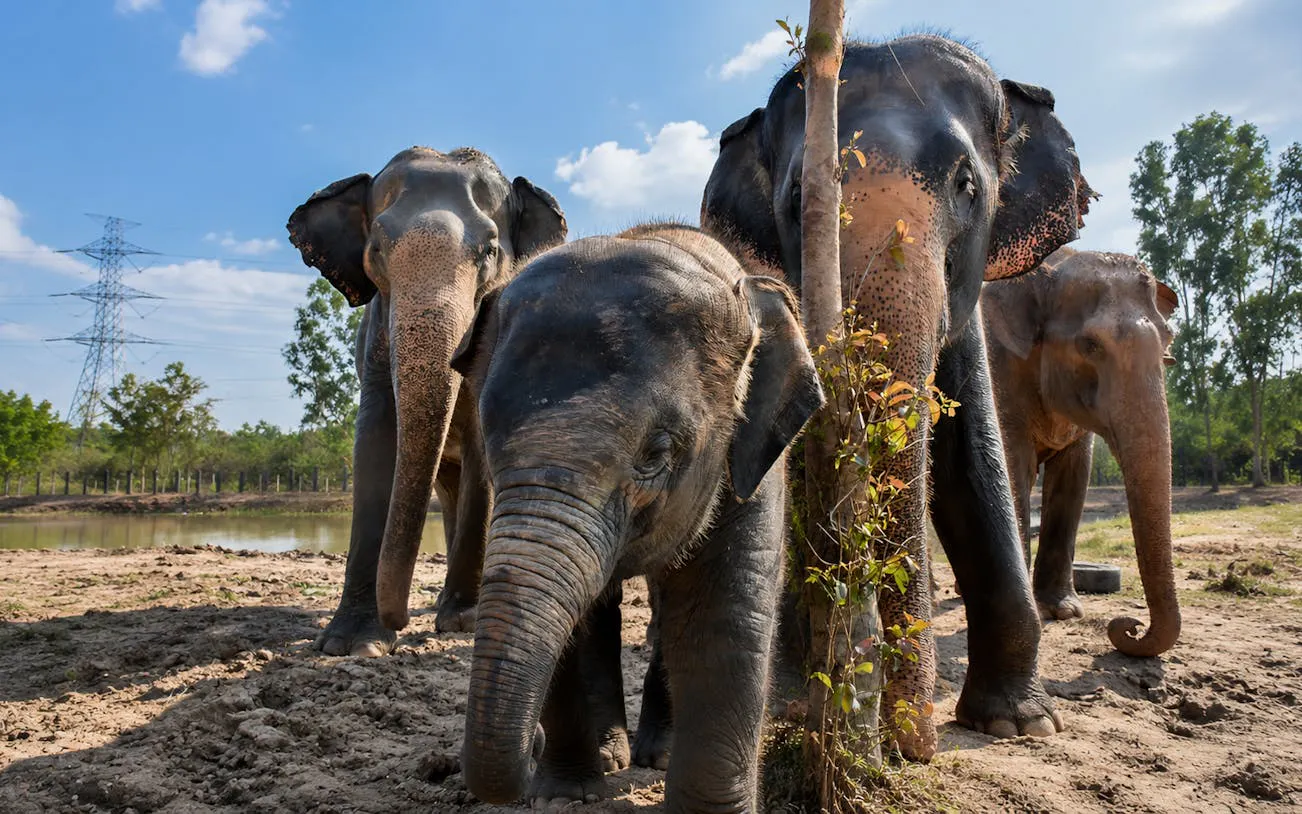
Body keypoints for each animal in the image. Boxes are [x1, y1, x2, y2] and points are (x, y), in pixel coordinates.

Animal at [286, 146, 567, 656]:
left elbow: (479, 446)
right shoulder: (375, 343)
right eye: (377, 249)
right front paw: (352, 642)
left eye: (490, 252)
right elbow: (375, 441)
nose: (395, 620)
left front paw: (461, 622)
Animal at [433, 223, 824, 812]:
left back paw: (655, 756)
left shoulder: (751, 461)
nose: (527, 751)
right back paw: (612, 756)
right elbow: (570, 613)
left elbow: (724, 612)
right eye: (488, 435)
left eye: (657, 452)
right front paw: (564, 797)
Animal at [701, 34, 1095, 757]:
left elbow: (974, 468)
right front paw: (802, 705)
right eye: (798, 198)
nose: (910, 745)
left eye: (967, 185)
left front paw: (1019, 723)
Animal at [982, 246, 1181, 657]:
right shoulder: (1000, 369)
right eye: (1090, 345)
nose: (1128, 625)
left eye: (1168, 345)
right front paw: (1038, 611)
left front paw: (1063, 611)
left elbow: (1075, 475)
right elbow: (1013, 462)